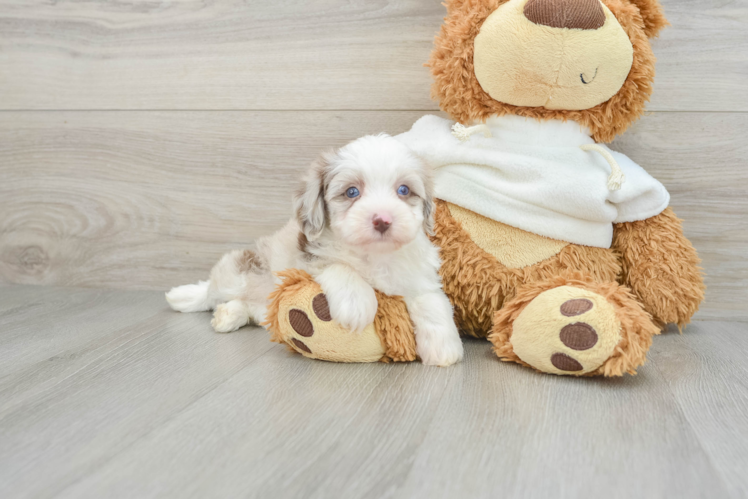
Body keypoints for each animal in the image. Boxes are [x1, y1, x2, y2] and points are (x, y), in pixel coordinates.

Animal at [167, 135, 464, 366]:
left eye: (403, 190)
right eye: (352, 192)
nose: (382, 220)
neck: (374, 256)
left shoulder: (418, 275)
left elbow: (432, 300)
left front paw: (444, 346)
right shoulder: (306, 259)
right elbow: (338, 265)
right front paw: (357, 303)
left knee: (249, 308)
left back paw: (228, 315)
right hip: (241, 271)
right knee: (212, 289)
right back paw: (185, 296)